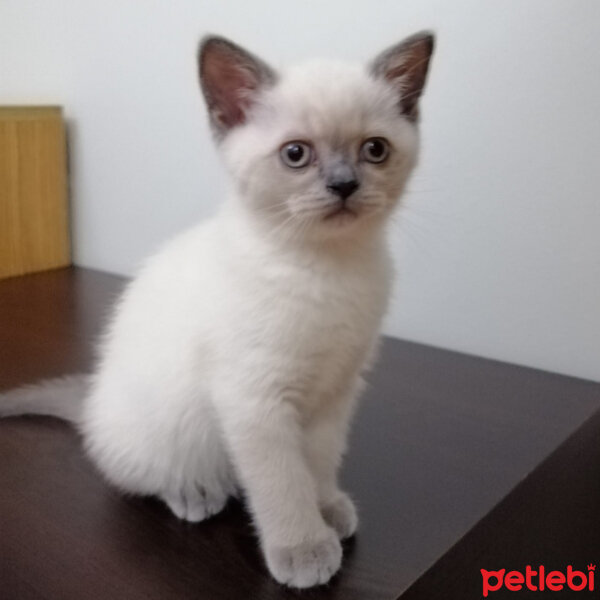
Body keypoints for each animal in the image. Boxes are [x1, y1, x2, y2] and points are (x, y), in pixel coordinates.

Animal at [0, 31, 434, 584]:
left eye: (374, 150)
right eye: (296, 154)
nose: (344, 185)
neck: (328, 268)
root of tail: (92, 402)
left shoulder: (336, 390)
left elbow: (317, 463)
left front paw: (327, 508)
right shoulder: (254, 400)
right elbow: (282, 482)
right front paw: (304, 550)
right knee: (147, 474)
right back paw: (196, 492)